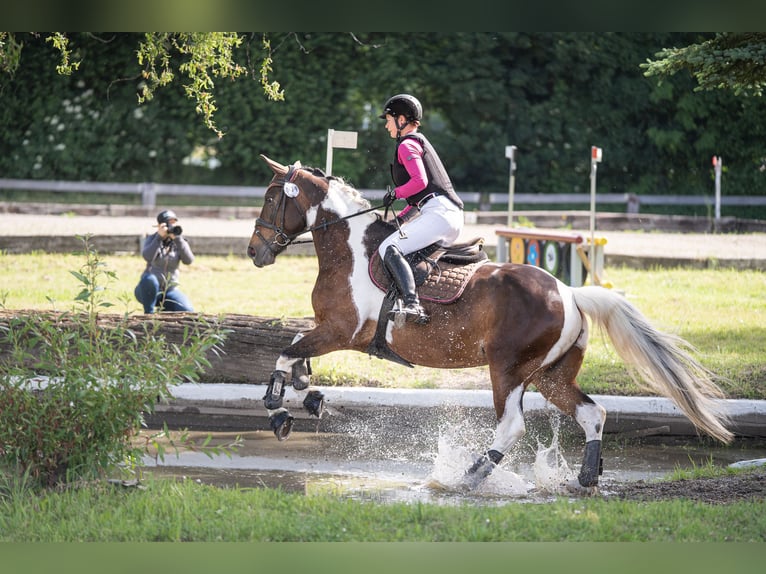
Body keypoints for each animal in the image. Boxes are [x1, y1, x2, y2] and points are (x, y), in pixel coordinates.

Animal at [246, 154, 733, 492]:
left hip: (509, 368)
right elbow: (295, 349)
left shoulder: (341, 332)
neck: (348, 249)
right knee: (592, 414)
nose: (255, 251)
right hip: (550, 375)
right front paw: (306, 395)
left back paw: (469, 475)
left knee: (513, 425)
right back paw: (585, 477)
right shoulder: (329, 331)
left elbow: (284, 353)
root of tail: (570, 292)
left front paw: (278, 408)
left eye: (271, 197)